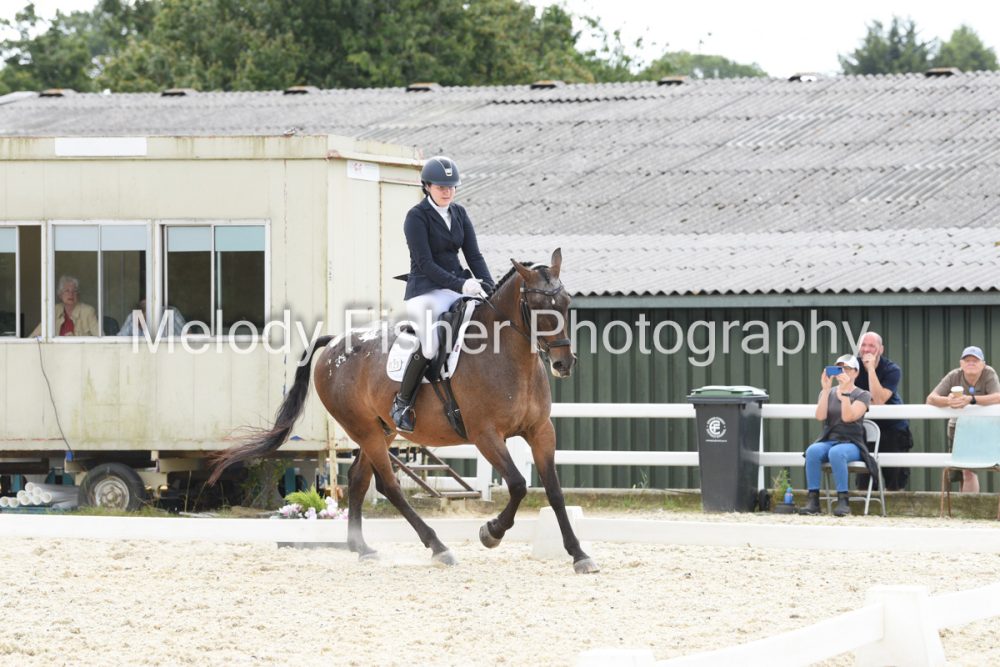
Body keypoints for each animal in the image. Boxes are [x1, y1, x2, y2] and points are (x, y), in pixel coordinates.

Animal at [208, 248, 599, 574]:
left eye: (565, 302)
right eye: (536, 306)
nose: (564, 364)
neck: (508, 356)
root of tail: (335, 343)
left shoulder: (541, 431)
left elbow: (554, 491)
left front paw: (579, 555)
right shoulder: (485, 435)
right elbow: (517, 484)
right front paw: (491, 533)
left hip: (381, 429)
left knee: (358, 480)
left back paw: (362, 548)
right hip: (364, 429)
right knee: (389, 485)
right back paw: (438, 547)